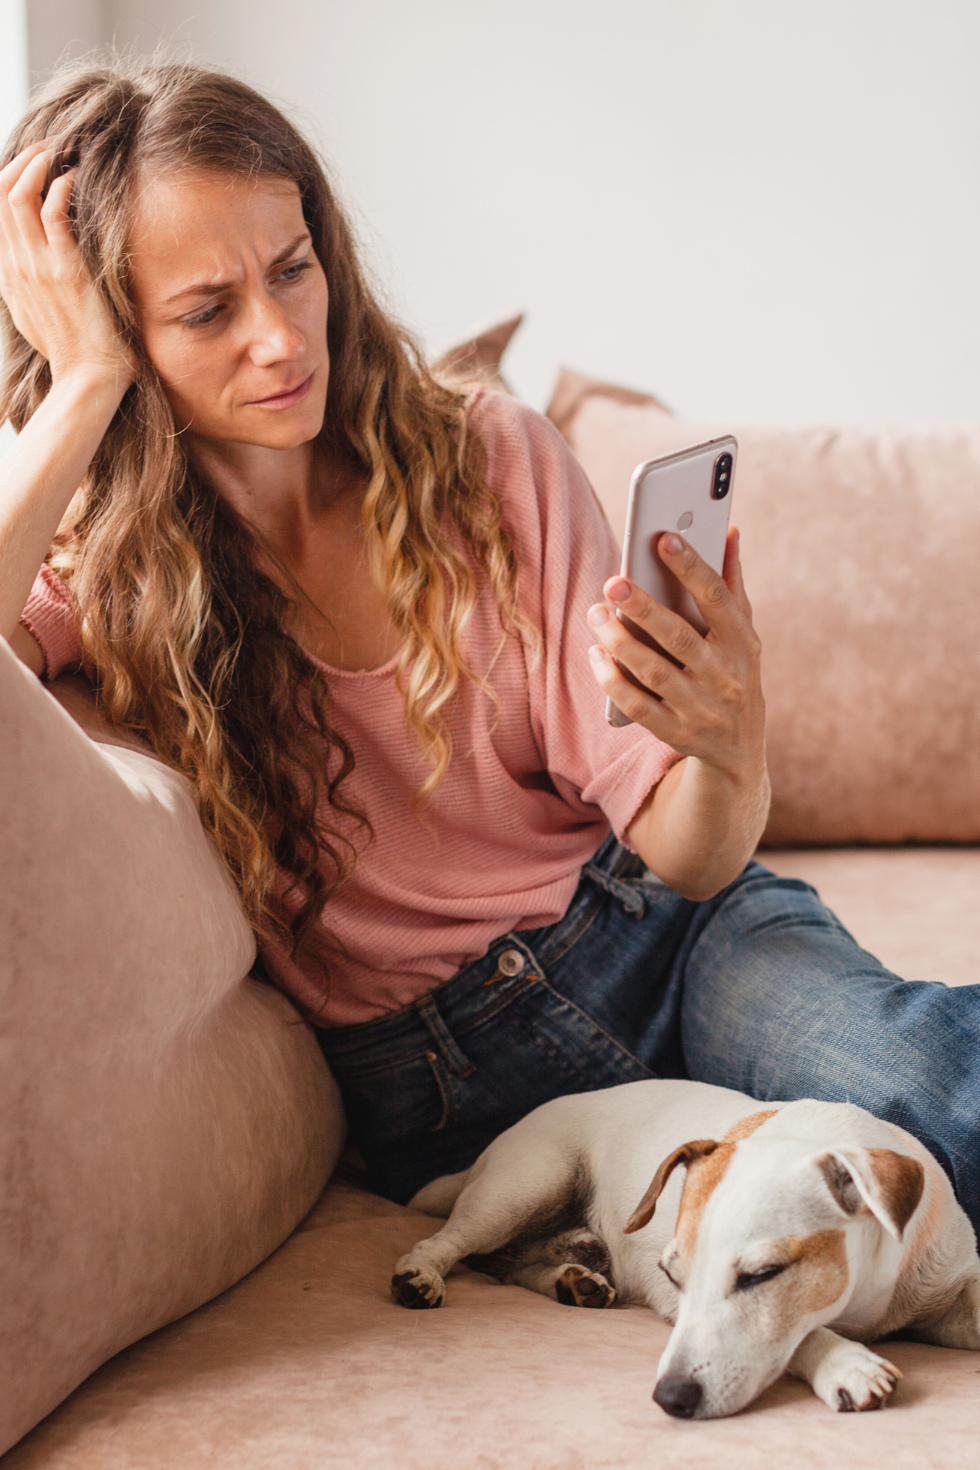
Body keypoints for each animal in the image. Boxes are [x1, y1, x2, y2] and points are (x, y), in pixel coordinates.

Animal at [390, 1081, 980, 1411]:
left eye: (763, 1275)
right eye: (673, 1277)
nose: (670, 1398)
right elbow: (807, 1335)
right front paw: (846, 1364)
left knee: (510, 1265)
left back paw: (574, 1277)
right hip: (524, 1188)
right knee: (456, 1243)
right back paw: (421, 1275)